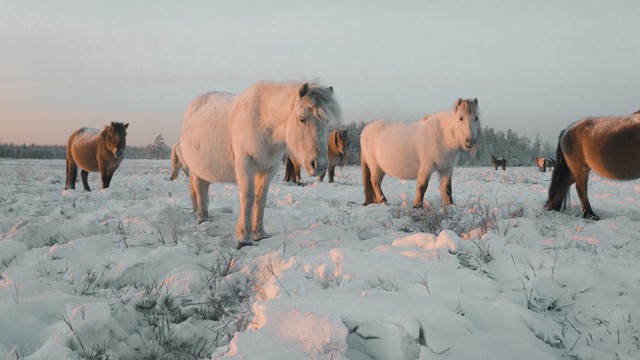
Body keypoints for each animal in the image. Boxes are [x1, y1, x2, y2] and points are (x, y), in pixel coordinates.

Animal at [178, 81, 342, 250]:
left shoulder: (268, 170)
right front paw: (244, 239)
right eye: (302, 118)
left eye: (327, 121)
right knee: (199, 188)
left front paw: (259, 234)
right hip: (195, 169)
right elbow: (248, 198)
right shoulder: (245, 166)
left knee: (204, 188)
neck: (263, 122)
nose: (319, 165)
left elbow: (261, 199)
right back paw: (202, 218)